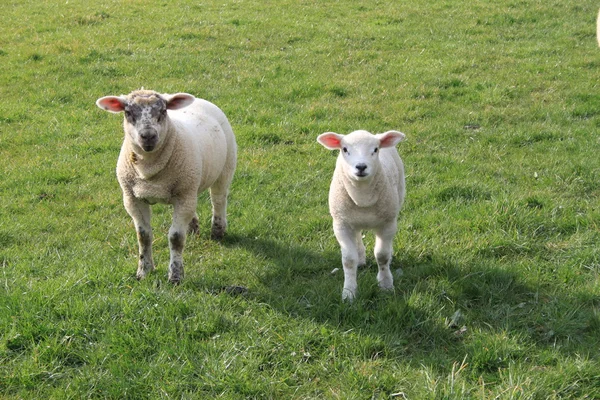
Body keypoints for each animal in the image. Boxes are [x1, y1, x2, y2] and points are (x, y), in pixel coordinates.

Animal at [96, 89, 237, 282]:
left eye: (163, 111)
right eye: (128, 112)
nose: (148, 136)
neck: (149, 169)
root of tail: (199, 99)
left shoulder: (183, 196)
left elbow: (176, 238)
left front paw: (175, 276)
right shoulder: (132, 199)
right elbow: (143, 236)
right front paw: (144, 271)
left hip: (225, 167)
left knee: (218, 200)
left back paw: (218, 230)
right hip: (190, 184)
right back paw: (193, 227)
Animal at [316, 129, 406, 300]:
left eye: (375, 149)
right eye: (345, 149)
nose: (361, 166)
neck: (362, 198)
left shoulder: (388, 223)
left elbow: (382, 256)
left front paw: (386, 285)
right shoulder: (341, 225)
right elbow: (348, 260)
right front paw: (349, 293)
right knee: (357, 235)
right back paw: (360, 258)